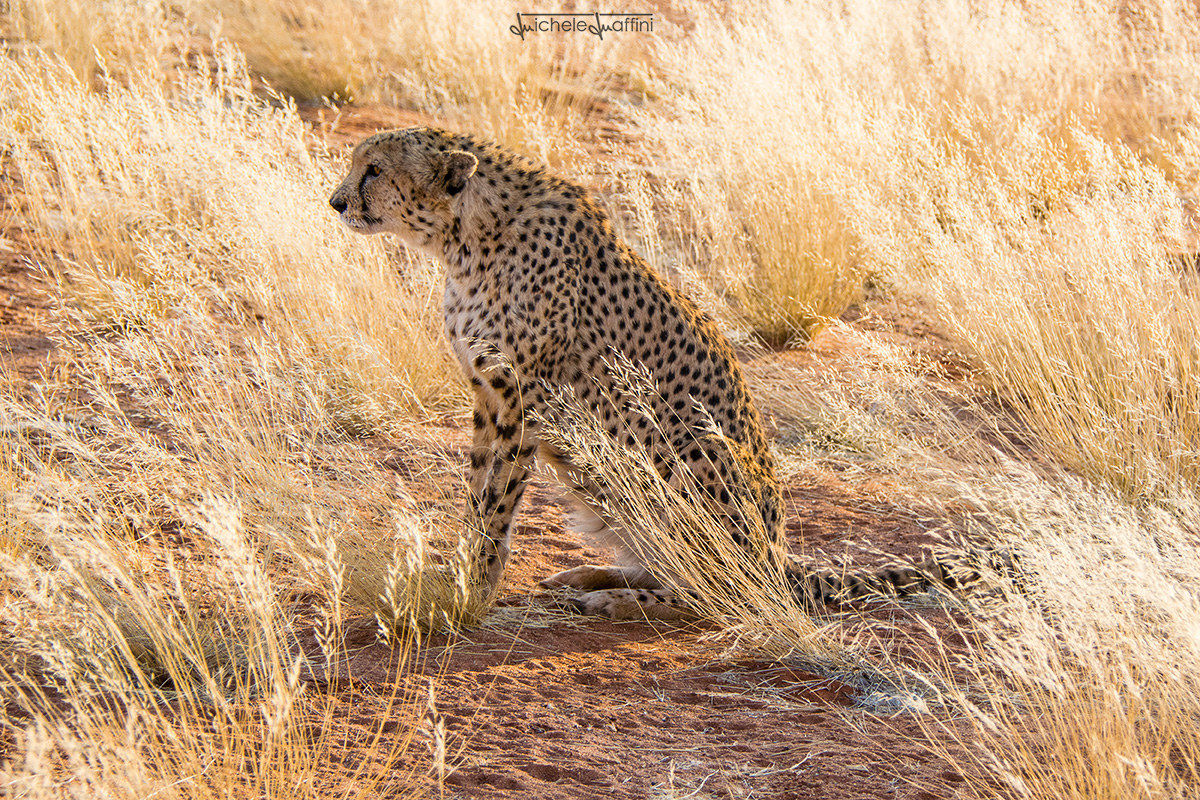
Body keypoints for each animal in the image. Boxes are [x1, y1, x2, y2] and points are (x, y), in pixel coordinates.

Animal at [329, 126, 985, 620]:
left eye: (374, 170)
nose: (336, 202)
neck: (466, 237)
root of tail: (779, 557)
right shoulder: (488, 393)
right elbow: (476, 489)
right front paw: (460, 570)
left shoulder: (524, 398)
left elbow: (498, 500)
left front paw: (474, 587)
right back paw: (594, 576)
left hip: (684, 450)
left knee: (723, 593)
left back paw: (625, 602)